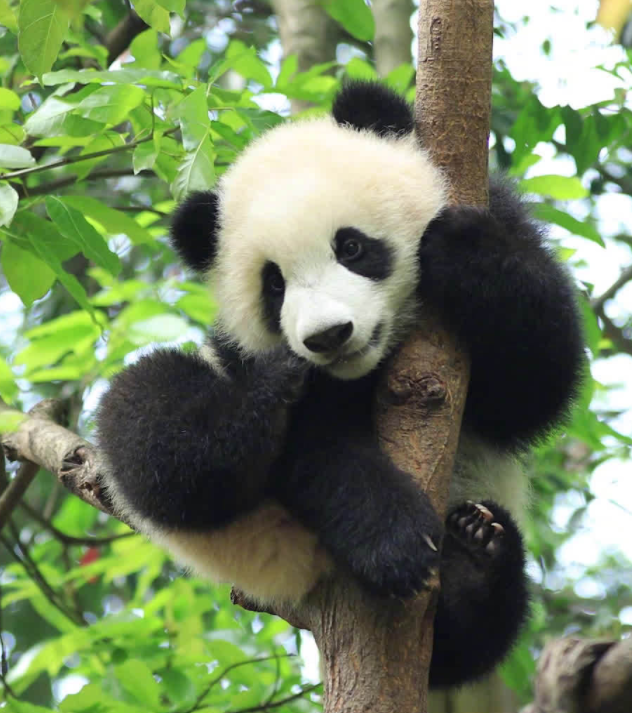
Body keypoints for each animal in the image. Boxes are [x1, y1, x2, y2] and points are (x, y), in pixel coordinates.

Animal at [96, 80, 584, 688]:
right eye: (274, 284)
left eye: (350, 247)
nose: (327, 336)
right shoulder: (240, 350)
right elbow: (317, 454)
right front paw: (395, 540)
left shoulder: (501, 226)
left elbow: (536, 383)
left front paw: (459, 247)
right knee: (151, 426)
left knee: (469, 642)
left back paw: (476, 557)